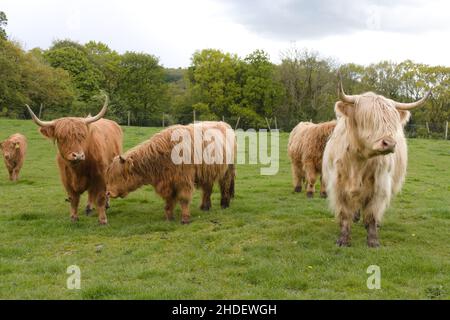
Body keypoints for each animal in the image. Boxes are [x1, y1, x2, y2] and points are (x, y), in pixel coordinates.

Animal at [27, 96, 122, 224]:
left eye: (82, 136)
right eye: (62, 137)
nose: (78, 156)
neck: (77, 170)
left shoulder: (100, 176)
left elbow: (100, 197)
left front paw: (102, 220)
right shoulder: (66, 180)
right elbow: (73, 199)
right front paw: (73, 217)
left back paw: (105, 205)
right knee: (90, 193)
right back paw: (88, 208)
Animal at [107, 121, 237, 224]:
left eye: (119, 175)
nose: (108, 192)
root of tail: (225, 124)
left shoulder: (184, 180)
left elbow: (183, 199)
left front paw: (185, 219)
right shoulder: (168, 182)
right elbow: (169, 199)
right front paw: (169, 217)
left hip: (228, 169)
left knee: (225, 185)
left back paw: (224, 204)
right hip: (207, 172)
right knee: (207, 189)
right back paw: (205, 207)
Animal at [322, 82, 430, 248]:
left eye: (392, 121)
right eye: (368, 119)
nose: (389, 143)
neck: (358, 162)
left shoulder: (380, 186)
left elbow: (372, 214)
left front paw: (373, 240)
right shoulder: (338, 186)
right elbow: (345, 214)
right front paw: (343, 239)